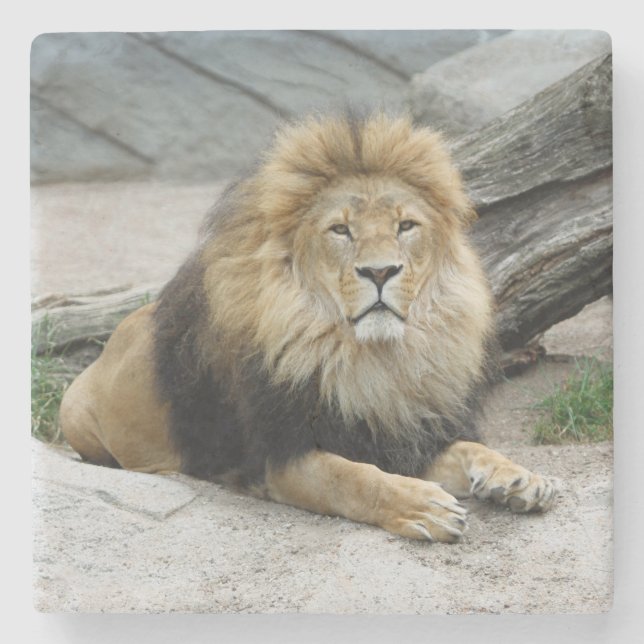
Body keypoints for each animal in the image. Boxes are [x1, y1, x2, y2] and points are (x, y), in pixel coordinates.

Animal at [60, 112, 556, 542]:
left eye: (406, 226)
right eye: (341, 230)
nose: (380, 272)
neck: (374, 359)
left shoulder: (401, 434)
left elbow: (470, 448)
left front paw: (519, 477)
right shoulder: (277, 457)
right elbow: (352, 478)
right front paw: (423, 505)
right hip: (74, 412)